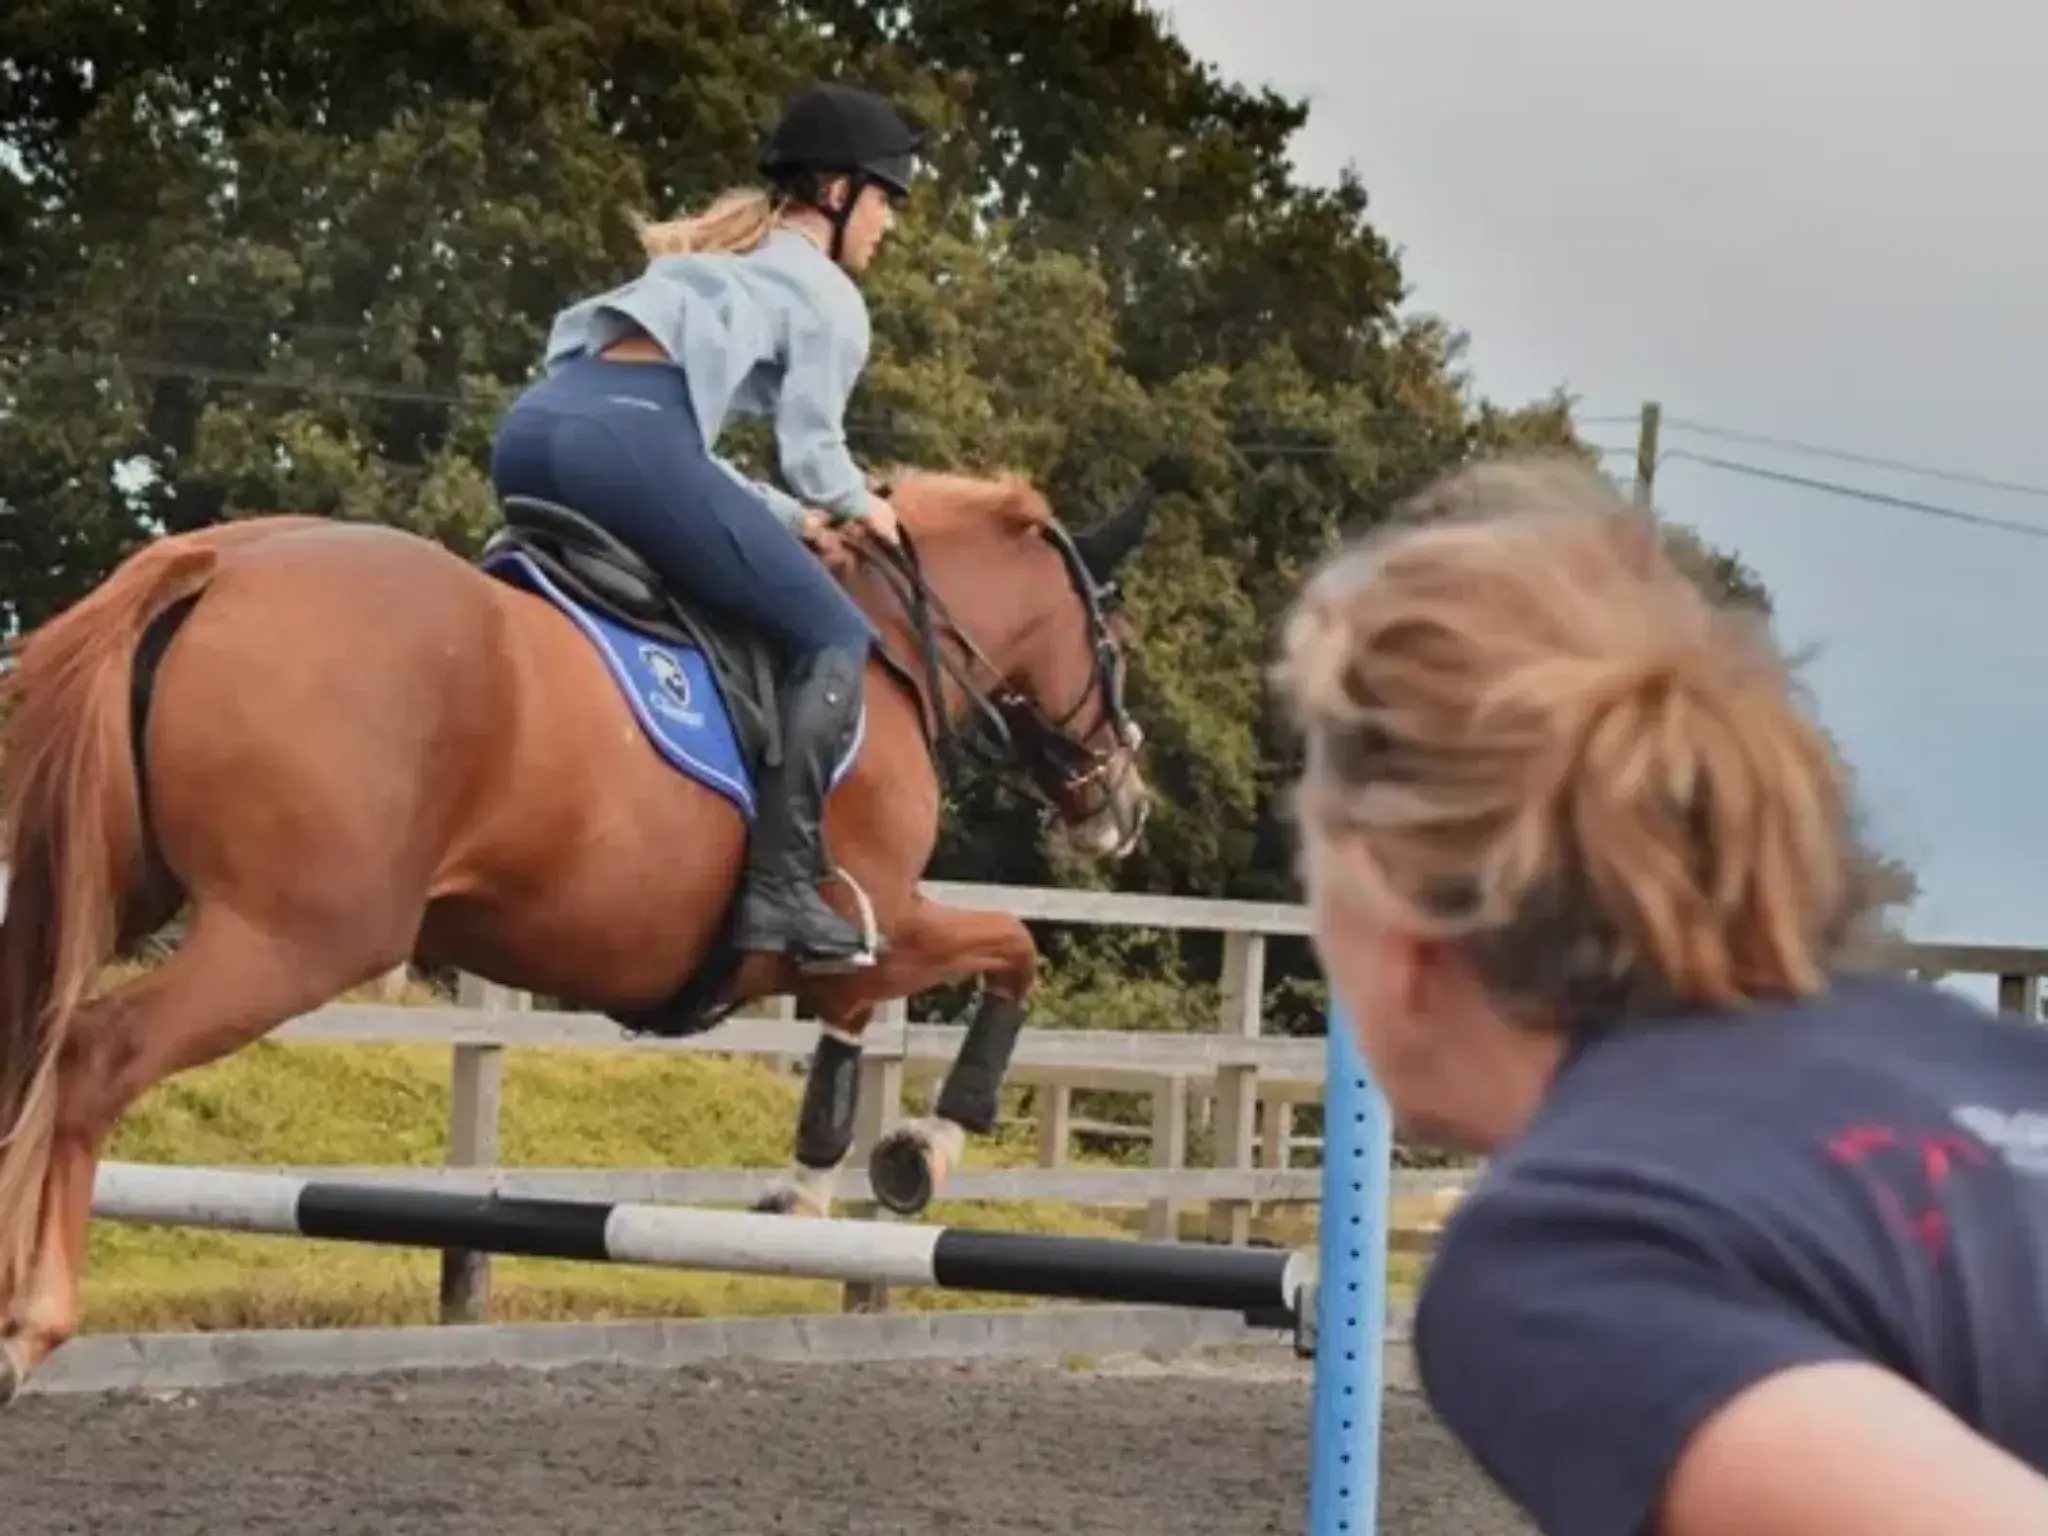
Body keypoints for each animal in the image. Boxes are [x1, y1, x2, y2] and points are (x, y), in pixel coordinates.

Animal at [0, 466, 1163, 1392]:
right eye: (1114, 641)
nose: (1126, 805)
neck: (892, 653)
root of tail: (214, 565)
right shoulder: (872, 914)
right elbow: (1013, 948)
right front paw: (931, 1143)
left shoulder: (843, 941)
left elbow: (857, 1014)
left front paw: (811, 1184)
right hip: (291, 939)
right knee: (96, 1056)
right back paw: (33, 1324)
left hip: (118, 889)